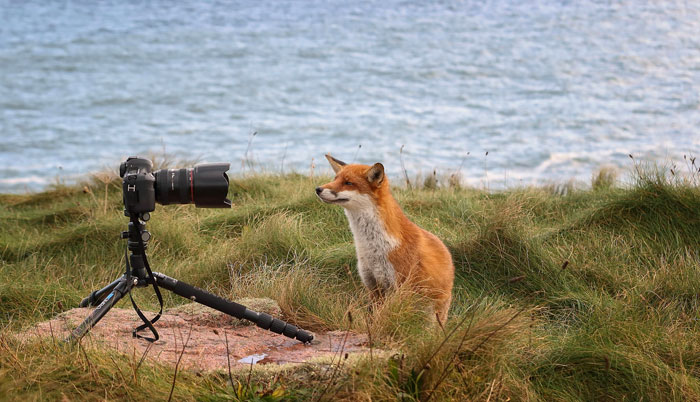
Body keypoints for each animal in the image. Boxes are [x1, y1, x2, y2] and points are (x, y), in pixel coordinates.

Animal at [315, 154, 454, 323]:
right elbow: (373, 317)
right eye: (335, 179)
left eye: (348, 183)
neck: (372, 247)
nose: (318, 189)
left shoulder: (399, 287)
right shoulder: (373, 285)